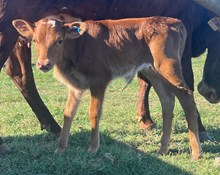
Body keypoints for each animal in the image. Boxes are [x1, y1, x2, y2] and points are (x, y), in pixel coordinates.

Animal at [12, 15, 201, 159]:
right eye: (35, 40)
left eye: (59, 40)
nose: (43, 64)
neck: (77, 47)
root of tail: (174, 21)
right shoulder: (75, 86)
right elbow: (68, 113)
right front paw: (60, 148)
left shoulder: (99, 80)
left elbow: (94, 112)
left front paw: (93, 148)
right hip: (154, 71)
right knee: (167, 102)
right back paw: (162, 149)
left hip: (169, 67)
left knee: (187, 98)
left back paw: (196, 152)